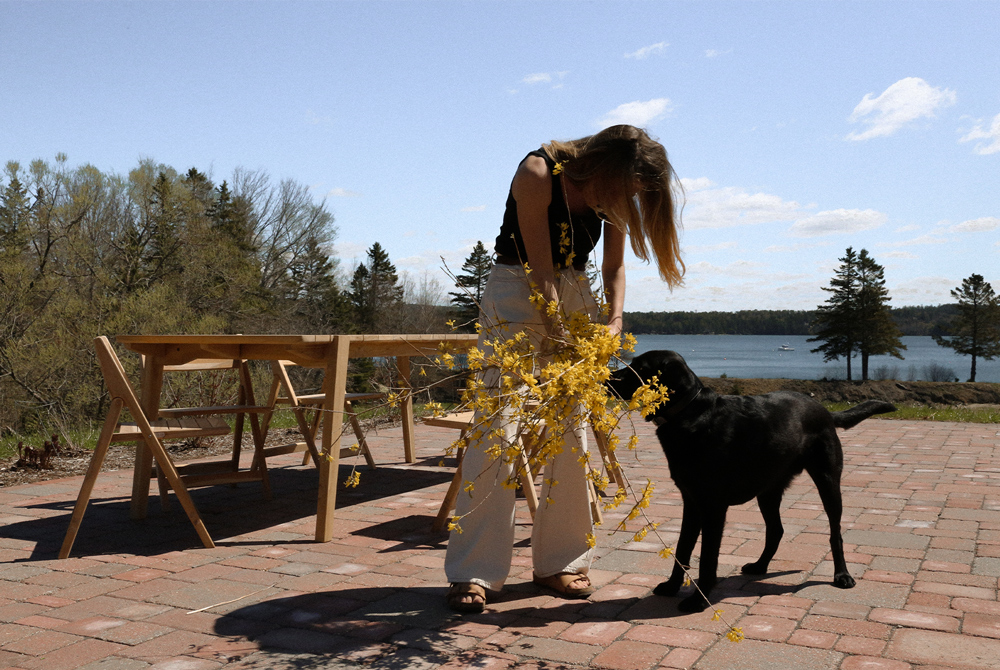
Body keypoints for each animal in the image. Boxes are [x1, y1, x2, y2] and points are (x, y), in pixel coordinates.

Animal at [608, 352, 900, 616]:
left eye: (638, 367)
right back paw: (760, 566)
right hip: (768, 491)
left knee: (834, 532)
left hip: (828, 481)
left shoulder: (713, 506)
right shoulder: (691, 501)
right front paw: (671, 586)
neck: (692, 413)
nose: (609, 377)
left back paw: (842, 575)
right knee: (777, 530)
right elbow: (682, 548)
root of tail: (824, 410)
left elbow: (707, 557)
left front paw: (699, 600)